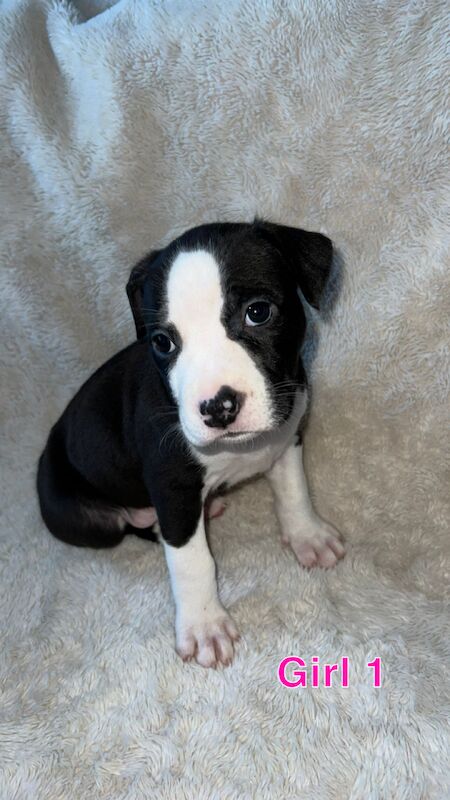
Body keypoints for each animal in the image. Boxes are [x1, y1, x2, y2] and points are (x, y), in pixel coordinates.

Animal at [37, 219, 344, 668]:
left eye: (258, 312)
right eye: (163, 342)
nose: (217, 407)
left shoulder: (288, 434)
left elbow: (294, 490)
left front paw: (308, 535)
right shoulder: (171, 485)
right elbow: (191, 560)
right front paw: (204, 626)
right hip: (86, 520)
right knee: (136, 527)